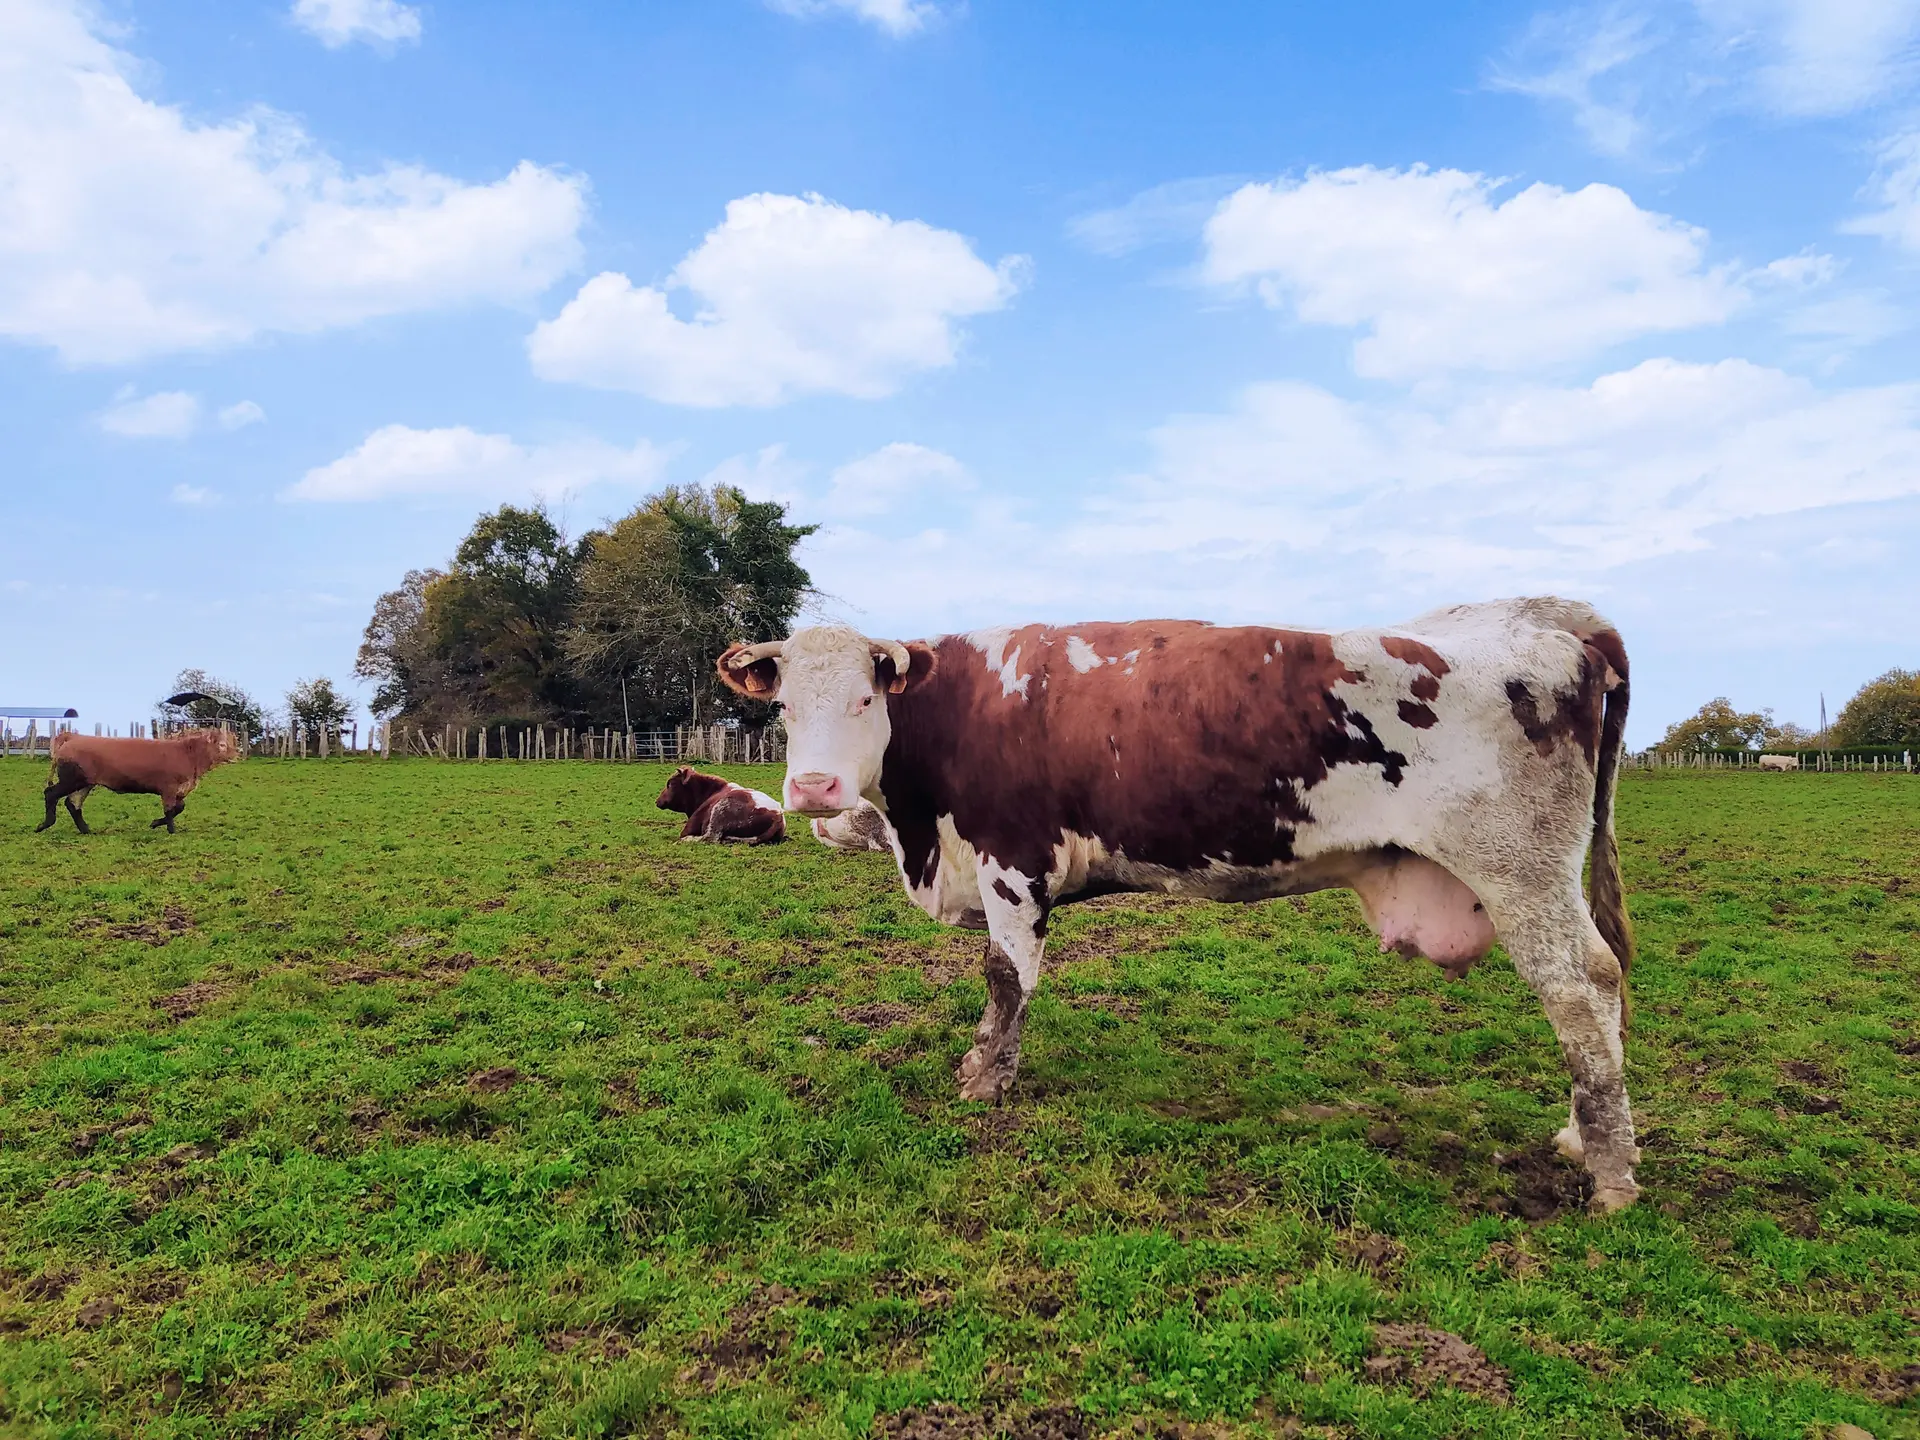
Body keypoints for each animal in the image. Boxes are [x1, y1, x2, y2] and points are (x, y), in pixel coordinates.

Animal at [38, 733, 240, 833]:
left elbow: (179, 808)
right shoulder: (168, 788)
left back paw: (86, 829)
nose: (237, 753)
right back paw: (45, 824)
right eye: (222, 745)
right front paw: (171, 830)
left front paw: (156, 823)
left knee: (73, 803)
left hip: (84, 783)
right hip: (72, 780)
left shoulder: (179, 791)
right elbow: (169, 810)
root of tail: (72, 738)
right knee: (51, 793)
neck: (188, 754)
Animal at [714, 602, 1643, 1213]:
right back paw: (1579, 1137)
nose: (813, 789)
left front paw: (985, 1078)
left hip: (1520, 871)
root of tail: (1551, 624)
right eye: (783, 705)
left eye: (866, 699)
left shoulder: (1013, 860)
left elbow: (1006, 977)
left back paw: (1611, 1176)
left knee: (1581, 990)